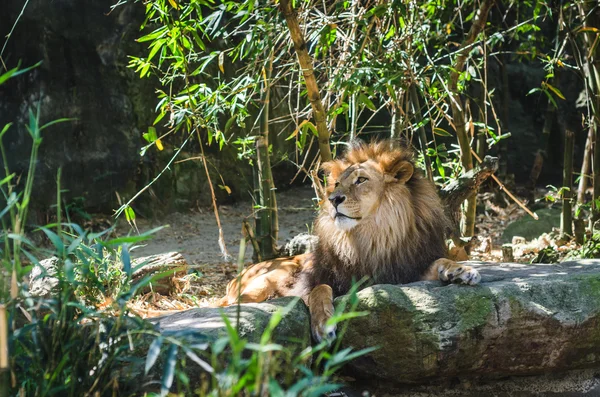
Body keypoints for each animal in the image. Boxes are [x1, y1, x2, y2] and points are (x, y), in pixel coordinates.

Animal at [218, 140, 480, 340]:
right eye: (336, 183)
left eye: (361, 180)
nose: (333, 199)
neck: (370, 237)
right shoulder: (311, 283)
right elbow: (320, 289)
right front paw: (324, 324)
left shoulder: (402, 273)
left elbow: (440, 262)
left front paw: (461, 271)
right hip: (274, 275)